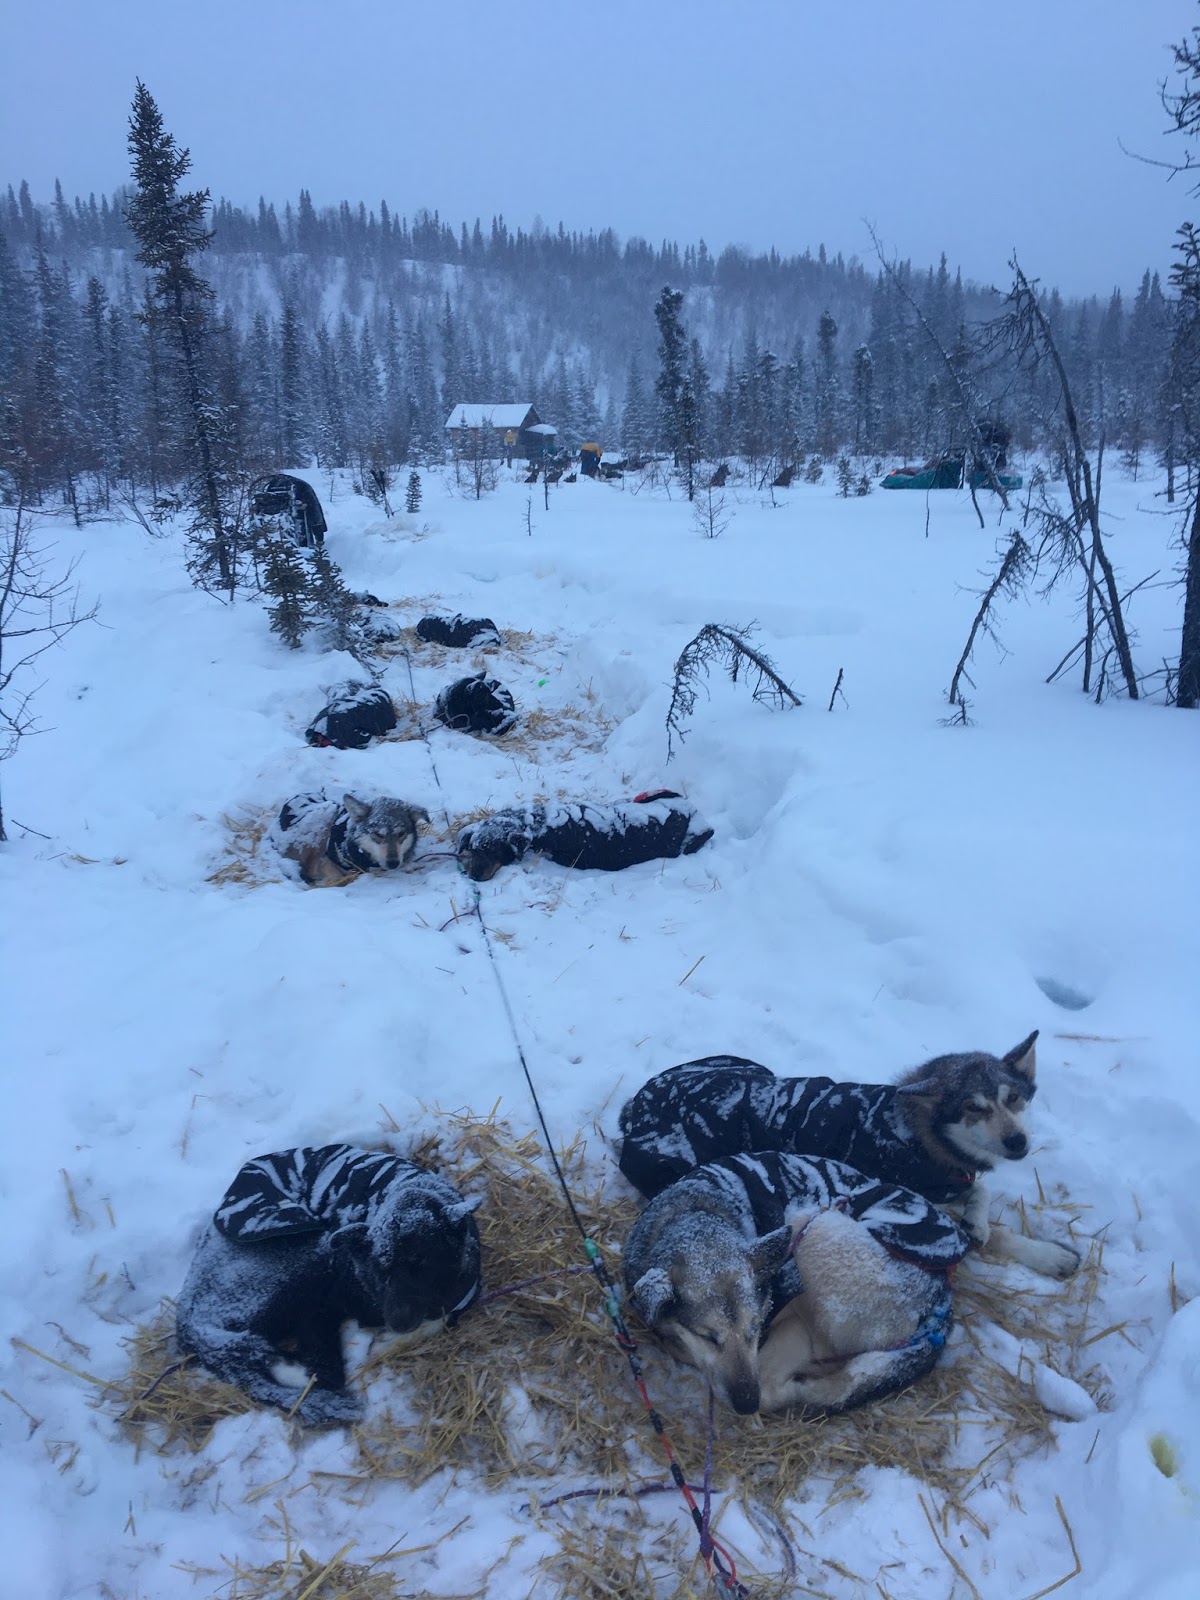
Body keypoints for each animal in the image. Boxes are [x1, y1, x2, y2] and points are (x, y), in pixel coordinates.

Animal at [175, 1139, 483, 1427]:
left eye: (424, 1264)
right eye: (380, 1270)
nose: (397, 1323)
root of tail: (188, 1319)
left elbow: (442, 1319)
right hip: (311, 1253)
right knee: (317, 1369)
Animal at [620, 1030, 1081, 1280]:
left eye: (1014, 1098)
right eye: (973, 1108)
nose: (1018, 1142)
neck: (916, 1135)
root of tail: (635, 1107)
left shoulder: (949, 1181)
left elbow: (980, 1193)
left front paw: (981, 1218)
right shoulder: (911, 1198)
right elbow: (992, 1229)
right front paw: (1047, 1254)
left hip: (750, 1065)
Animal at [624, 1152, 972, 1414]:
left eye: (755, 1328)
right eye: (708, 1336)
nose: (747, 1404)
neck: (695, 1216)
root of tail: (940, 1301)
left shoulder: (790, 1324)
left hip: (813, 1224)